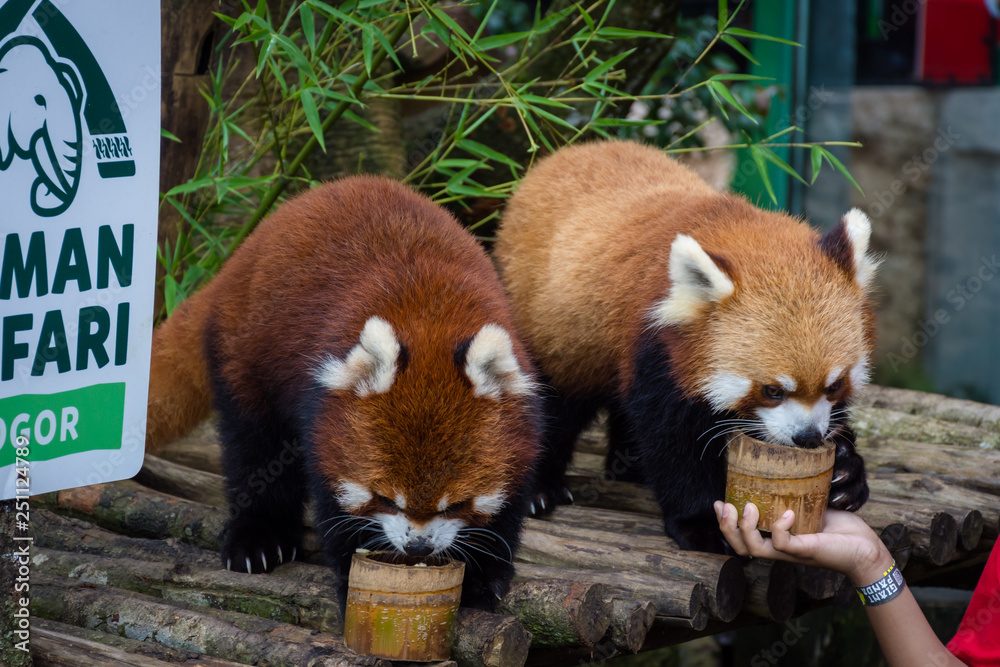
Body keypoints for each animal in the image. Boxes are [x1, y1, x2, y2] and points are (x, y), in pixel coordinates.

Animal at [143, 177, 540, 612]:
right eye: (385, 498)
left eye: (455, 504)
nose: (417, 547)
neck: (431, 321)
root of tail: (245, 252)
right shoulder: (323, 413)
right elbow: (331, 500)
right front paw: (350, 575)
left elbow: (506, 510)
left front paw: (483, 578)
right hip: (246, 356)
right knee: (254, 450)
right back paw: (257, 537)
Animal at [492, 141, 876, 552]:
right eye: (772, 390)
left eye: (834, 385)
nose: (808, 438)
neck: (733, 226)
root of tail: (567, 153)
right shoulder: (659, 349)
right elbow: (675, 442)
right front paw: (701, 523)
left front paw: (847, 471)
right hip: (547, 324)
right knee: (553, 402)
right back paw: (540, 489)